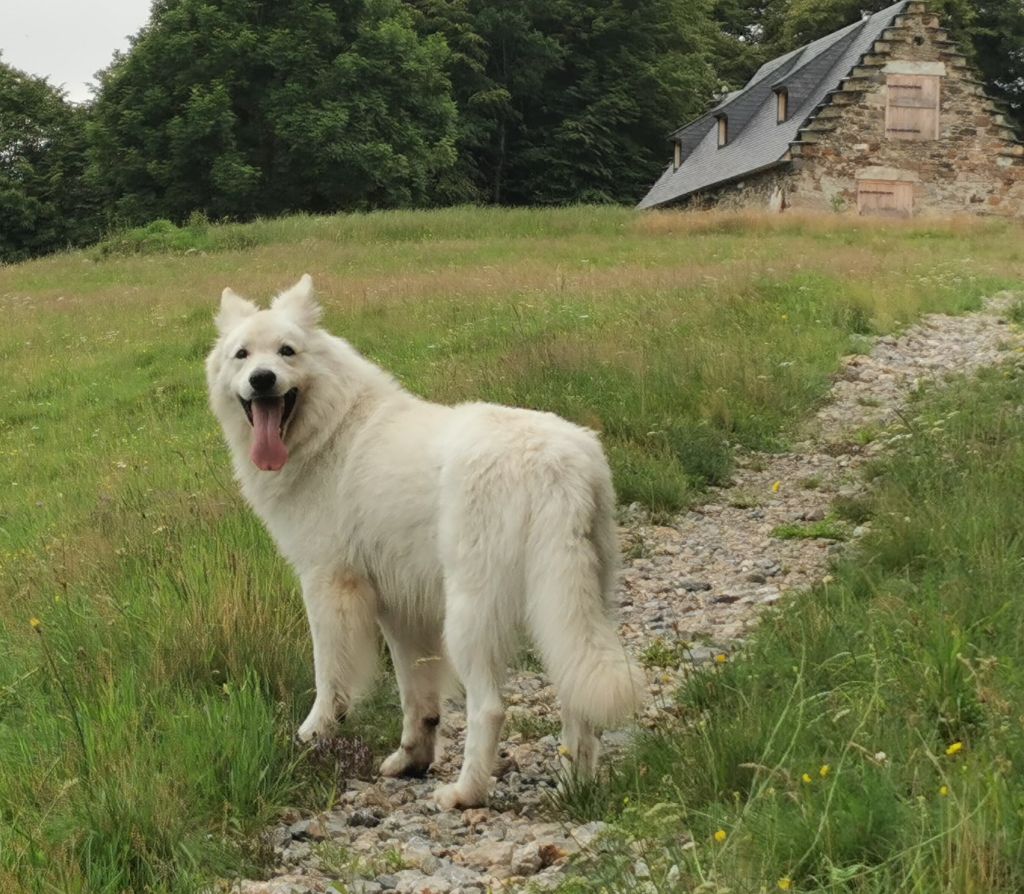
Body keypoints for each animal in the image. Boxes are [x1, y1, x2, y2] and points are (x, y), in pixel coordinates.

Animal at [206, 274, 638, 811]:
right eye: (242, 355)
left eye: (287, 352)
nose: (262, 379)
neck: (330, 428)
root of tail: (559, 465)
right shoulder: (401, 609)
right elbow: (418, 695)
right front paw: (412, 758)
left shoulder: (328, 586)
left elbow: (329, 675)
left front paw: (314, 733)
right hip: (569, 605)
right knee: (575, 698)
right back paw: (572, 788)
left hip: (471, 614)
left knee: (490, 708)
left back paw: (465, 793)